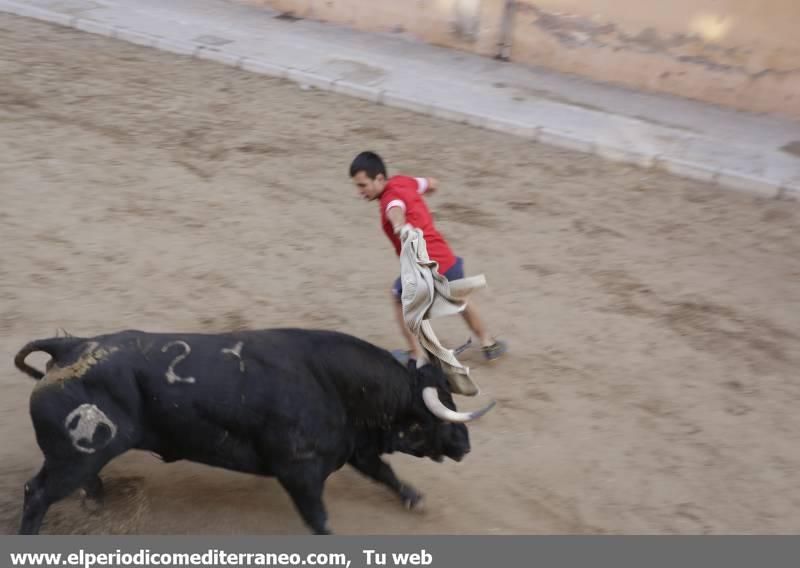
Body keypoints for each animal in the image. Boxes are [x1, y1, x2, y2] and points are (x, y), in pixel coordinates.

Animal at [12, 326, 494, 536]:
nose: (465, 445)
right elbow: (319, 518)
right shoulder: (300, 472)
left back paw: (97, 503)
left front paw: (414, 499)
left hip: (84, 455)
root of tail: (71, 345)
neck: (337, 384)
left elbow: (384, 473)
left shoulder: (352, 447)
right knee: (37, 494)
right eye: (440, 411)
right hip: (72, 458)